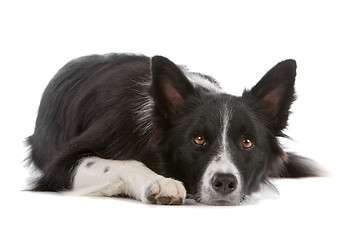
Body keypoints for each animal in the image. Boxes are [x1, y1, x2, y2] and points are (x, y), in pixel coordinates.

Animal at [27, 53, 320, 205]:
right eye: (198, 139)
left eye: (247, 142)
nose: (225, 182)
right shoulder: (59, 168)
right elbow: (124, 162)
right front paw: (159, 182)